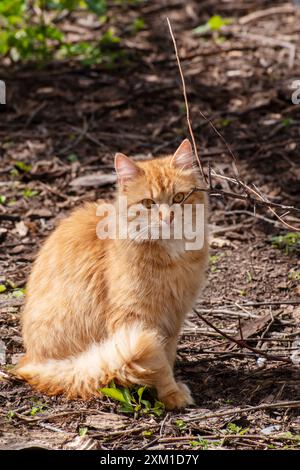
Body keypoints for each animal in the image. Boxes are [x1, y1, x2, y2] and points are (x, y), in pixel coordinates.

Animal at [14, 139, 209, 408]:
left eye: (179, 198)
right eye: (148, 204)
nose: (167, 218)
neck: (172, 256)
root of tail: (29, 363)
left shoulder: (173, 318)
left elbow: (166, 356)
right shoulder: (134, 319)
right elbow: (158, 363)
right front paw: (169, 393)